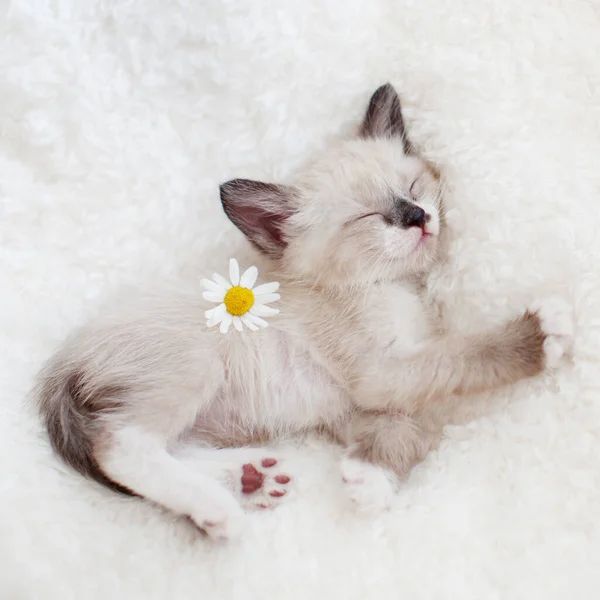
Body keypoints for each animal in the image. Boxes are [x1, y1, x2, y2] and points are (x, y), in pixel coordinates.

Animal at [35, 84, 576, 540]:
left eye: (413, 188)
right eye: (367, 217)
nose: (417, 217)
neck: (388, 287)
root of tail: (61, 363)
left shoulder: (357, 403)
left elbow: (407, 429)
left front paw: (372, 478)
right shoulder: (382, 372)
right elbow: (463, 357)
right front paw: (540, 333)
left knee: (168, 445)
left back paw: (251, 479)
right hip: (196, 364)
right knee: (119, 445)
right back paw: (217, 509)